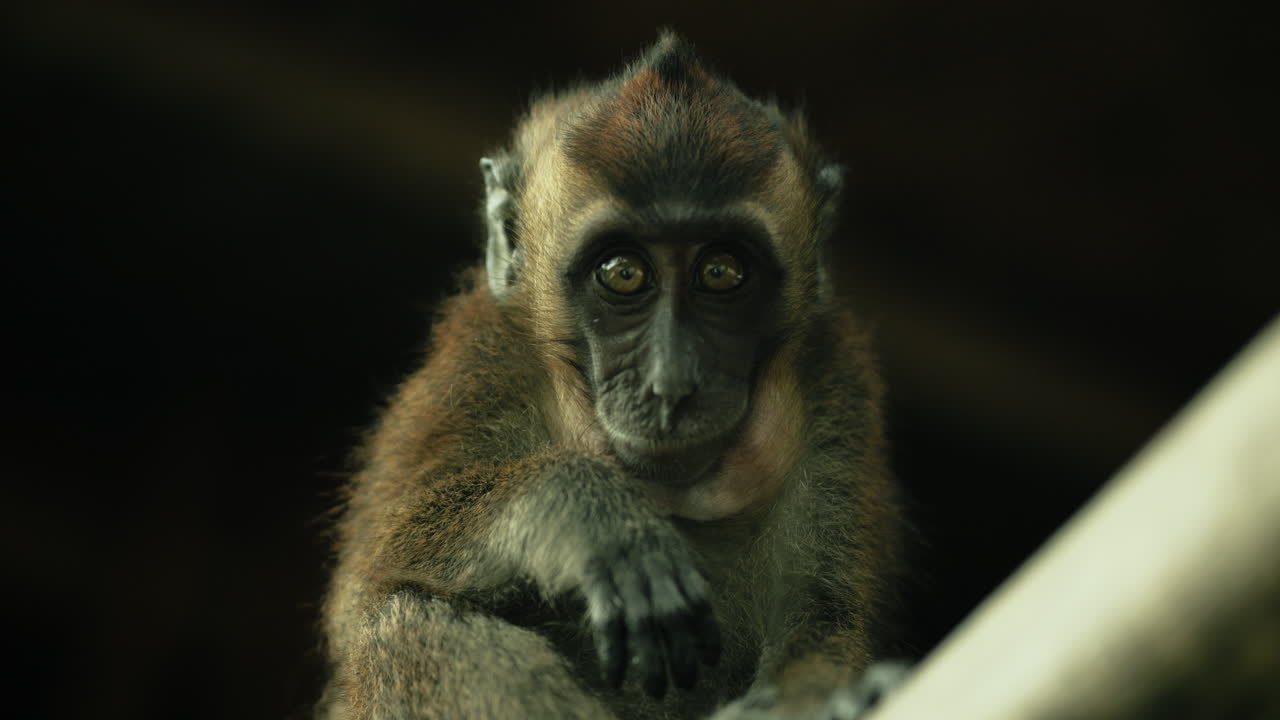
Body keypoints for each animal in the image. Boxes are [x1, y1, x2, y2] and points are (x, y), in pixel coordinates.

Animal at [318, 32, 905, 720]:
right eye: (623, 273)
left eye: (721, 272)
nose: (671, 385)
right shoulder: (483, 362)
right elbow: (361, 595)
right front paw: (580, 510)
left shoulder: (833, 381)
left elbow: (822, 627)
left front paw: (813, 696)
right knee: (407, 626)